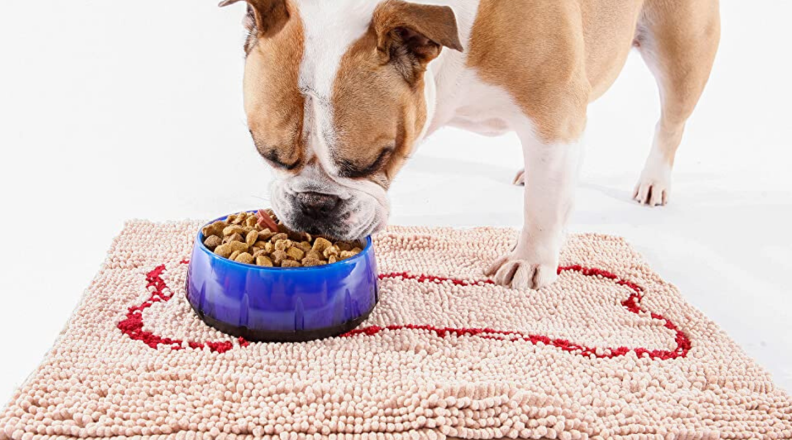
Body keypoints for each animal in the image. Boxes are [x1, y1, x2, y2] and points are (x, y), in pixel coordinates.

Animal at [220, 0, 720, 290]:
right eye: (264, 151)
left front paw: (530, 261)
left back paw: (654, 181)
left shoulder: (554, 112)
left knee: (671, 119)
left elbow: (544, 206)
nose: (315, 204)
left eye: (377, 159)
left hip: (681, 50)